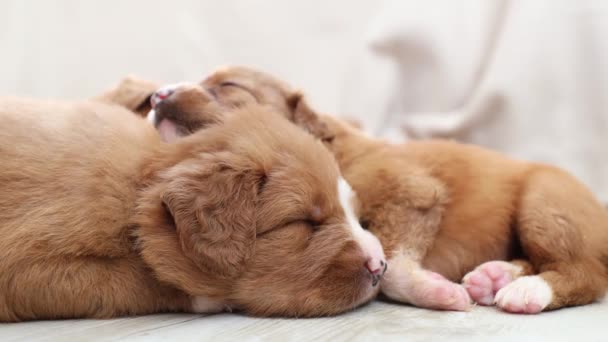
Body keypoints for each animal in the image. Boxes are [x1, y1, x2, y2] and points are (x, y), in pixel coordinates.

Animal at [0, 94, 384, 320]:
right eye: (302, 223)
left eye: (355, 214)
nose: (380, 266)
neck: (137, 190)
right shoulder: (26, 264)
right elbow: (135, 277)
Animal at [153, 65, 608, 314]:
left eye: (229, 86)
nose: (157, 95)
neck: (334, 148)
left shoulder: (412, 195)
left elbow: (391, 267)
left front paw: (436, 291)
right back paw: (494, 277)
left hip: (544, 203)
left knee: (585, 272)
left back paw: (526, 291)